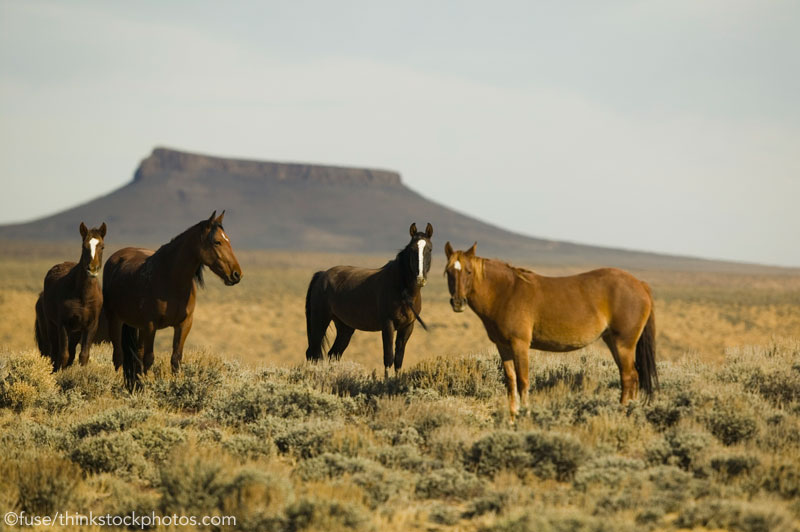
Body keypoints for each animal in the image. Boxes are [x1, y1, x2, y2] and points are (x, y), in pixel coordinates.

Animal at [34, 220, 108, 370]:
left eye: (102, 247)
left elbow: (83, 356)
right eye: (84, 246)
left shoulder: (90, 326)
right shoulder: (63, 325)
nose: (92, 268)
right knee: (51, 353)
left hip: (75, 333)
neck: (83, 296)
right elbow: (63, 355)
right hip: (50, 329)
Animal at [103, 212, 242, 390]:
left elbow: (176, 359)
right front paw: (147, 389)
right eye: (217, 242)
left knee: (136, 354)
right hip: (116, 320)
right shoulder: (151, 325)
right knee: (119, 356)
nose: (236, 274)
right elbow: (149, 359)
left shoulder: (184, 324)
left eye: (228, 240)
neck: (171, 279)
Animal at [304, 222, 432, 376]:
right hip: (320, 321)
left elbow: (398, 360)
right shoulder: (388, 325)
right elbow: (388, 358)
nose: (420, 279)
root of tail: (322, 275)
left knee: (333, 354)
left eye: (429, 249)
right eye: (413, 249)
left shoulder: (407, 327)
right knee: (313, 353)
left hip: (345, 327)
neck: (401, 287)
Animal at [444, 242, 656, 424]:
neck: (506, 292)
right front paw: (512, 419)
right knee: (632, 376)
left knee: (628, 377)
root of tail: (640, 284)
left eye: (469, 271)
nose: (458, 302)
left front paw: (526, 416)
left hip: (623, 344)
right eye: (448, 272)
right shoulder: (503, 347)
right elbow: (511, 381)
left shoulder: (520, 344)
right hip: (613, 341)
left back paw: (622, 414)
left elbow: (523, 380)